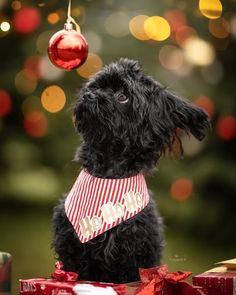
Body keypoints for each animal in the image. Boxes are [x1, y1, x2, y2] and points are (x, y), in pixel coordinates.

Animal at [52, 58, 209, 284]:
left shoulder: (135, 258)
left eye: (123, 97)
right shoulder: (71, 252)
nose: (89, 94)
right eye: (97, 86)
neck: (108, 177)